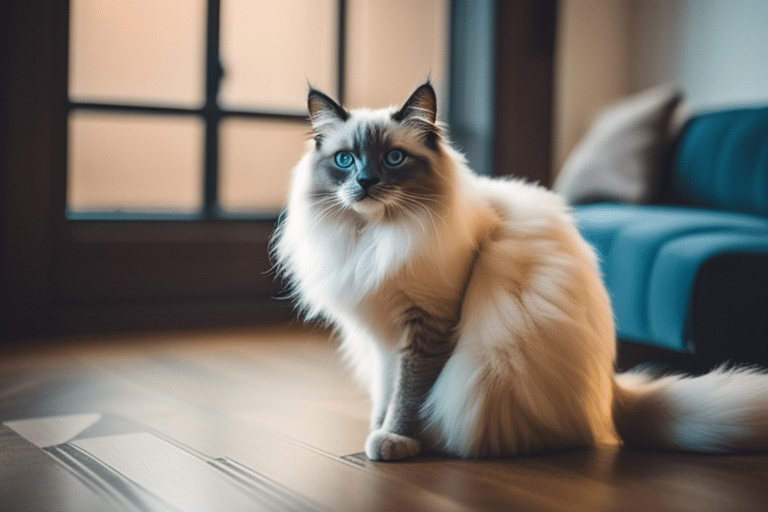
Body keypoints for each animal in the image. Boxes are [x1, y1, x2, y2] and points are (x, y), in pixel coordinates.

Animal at [272, 83, 768, 460]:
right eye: (345, 160)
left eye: (393, 159)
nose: (365, 182)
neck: (376, 239)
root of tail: (610, 391)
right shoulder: (382, 333)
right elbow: (386, 389)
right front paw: (378, 429)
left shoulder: (427, 324)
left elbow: (409, 392)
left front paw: (396, 439)